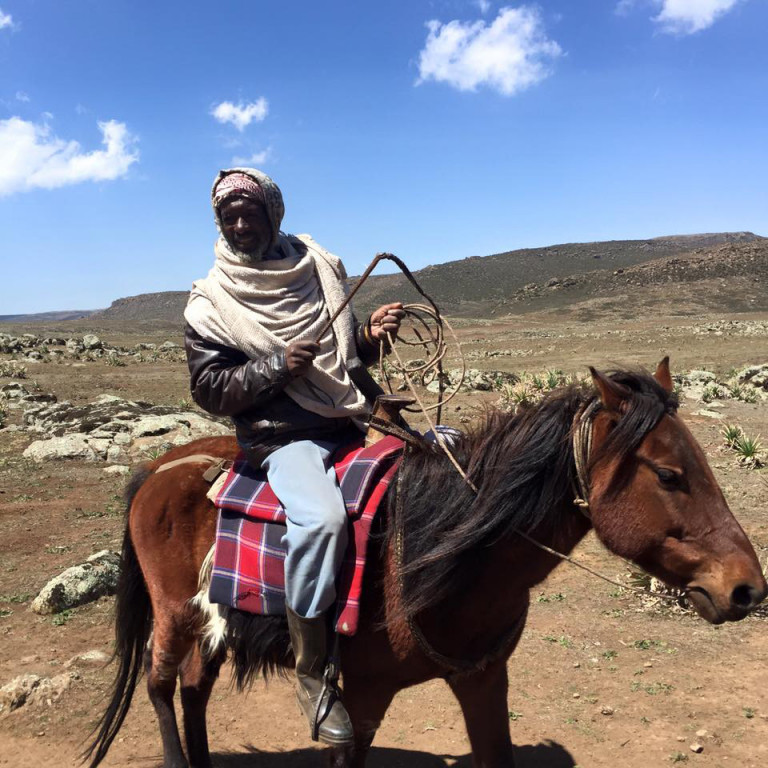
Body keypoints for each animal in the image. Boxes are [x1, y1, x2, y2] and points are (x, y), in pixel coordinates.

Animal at [85, 362, 768, 768]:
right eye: (669, 475)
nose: (746, 589)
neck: (428, 552)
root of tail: (158, 468)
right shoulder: (360, 699)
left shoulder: (484, 678)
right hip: (176, 614)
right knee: (161, 684)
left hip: (215, 622)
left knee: (195, 687)